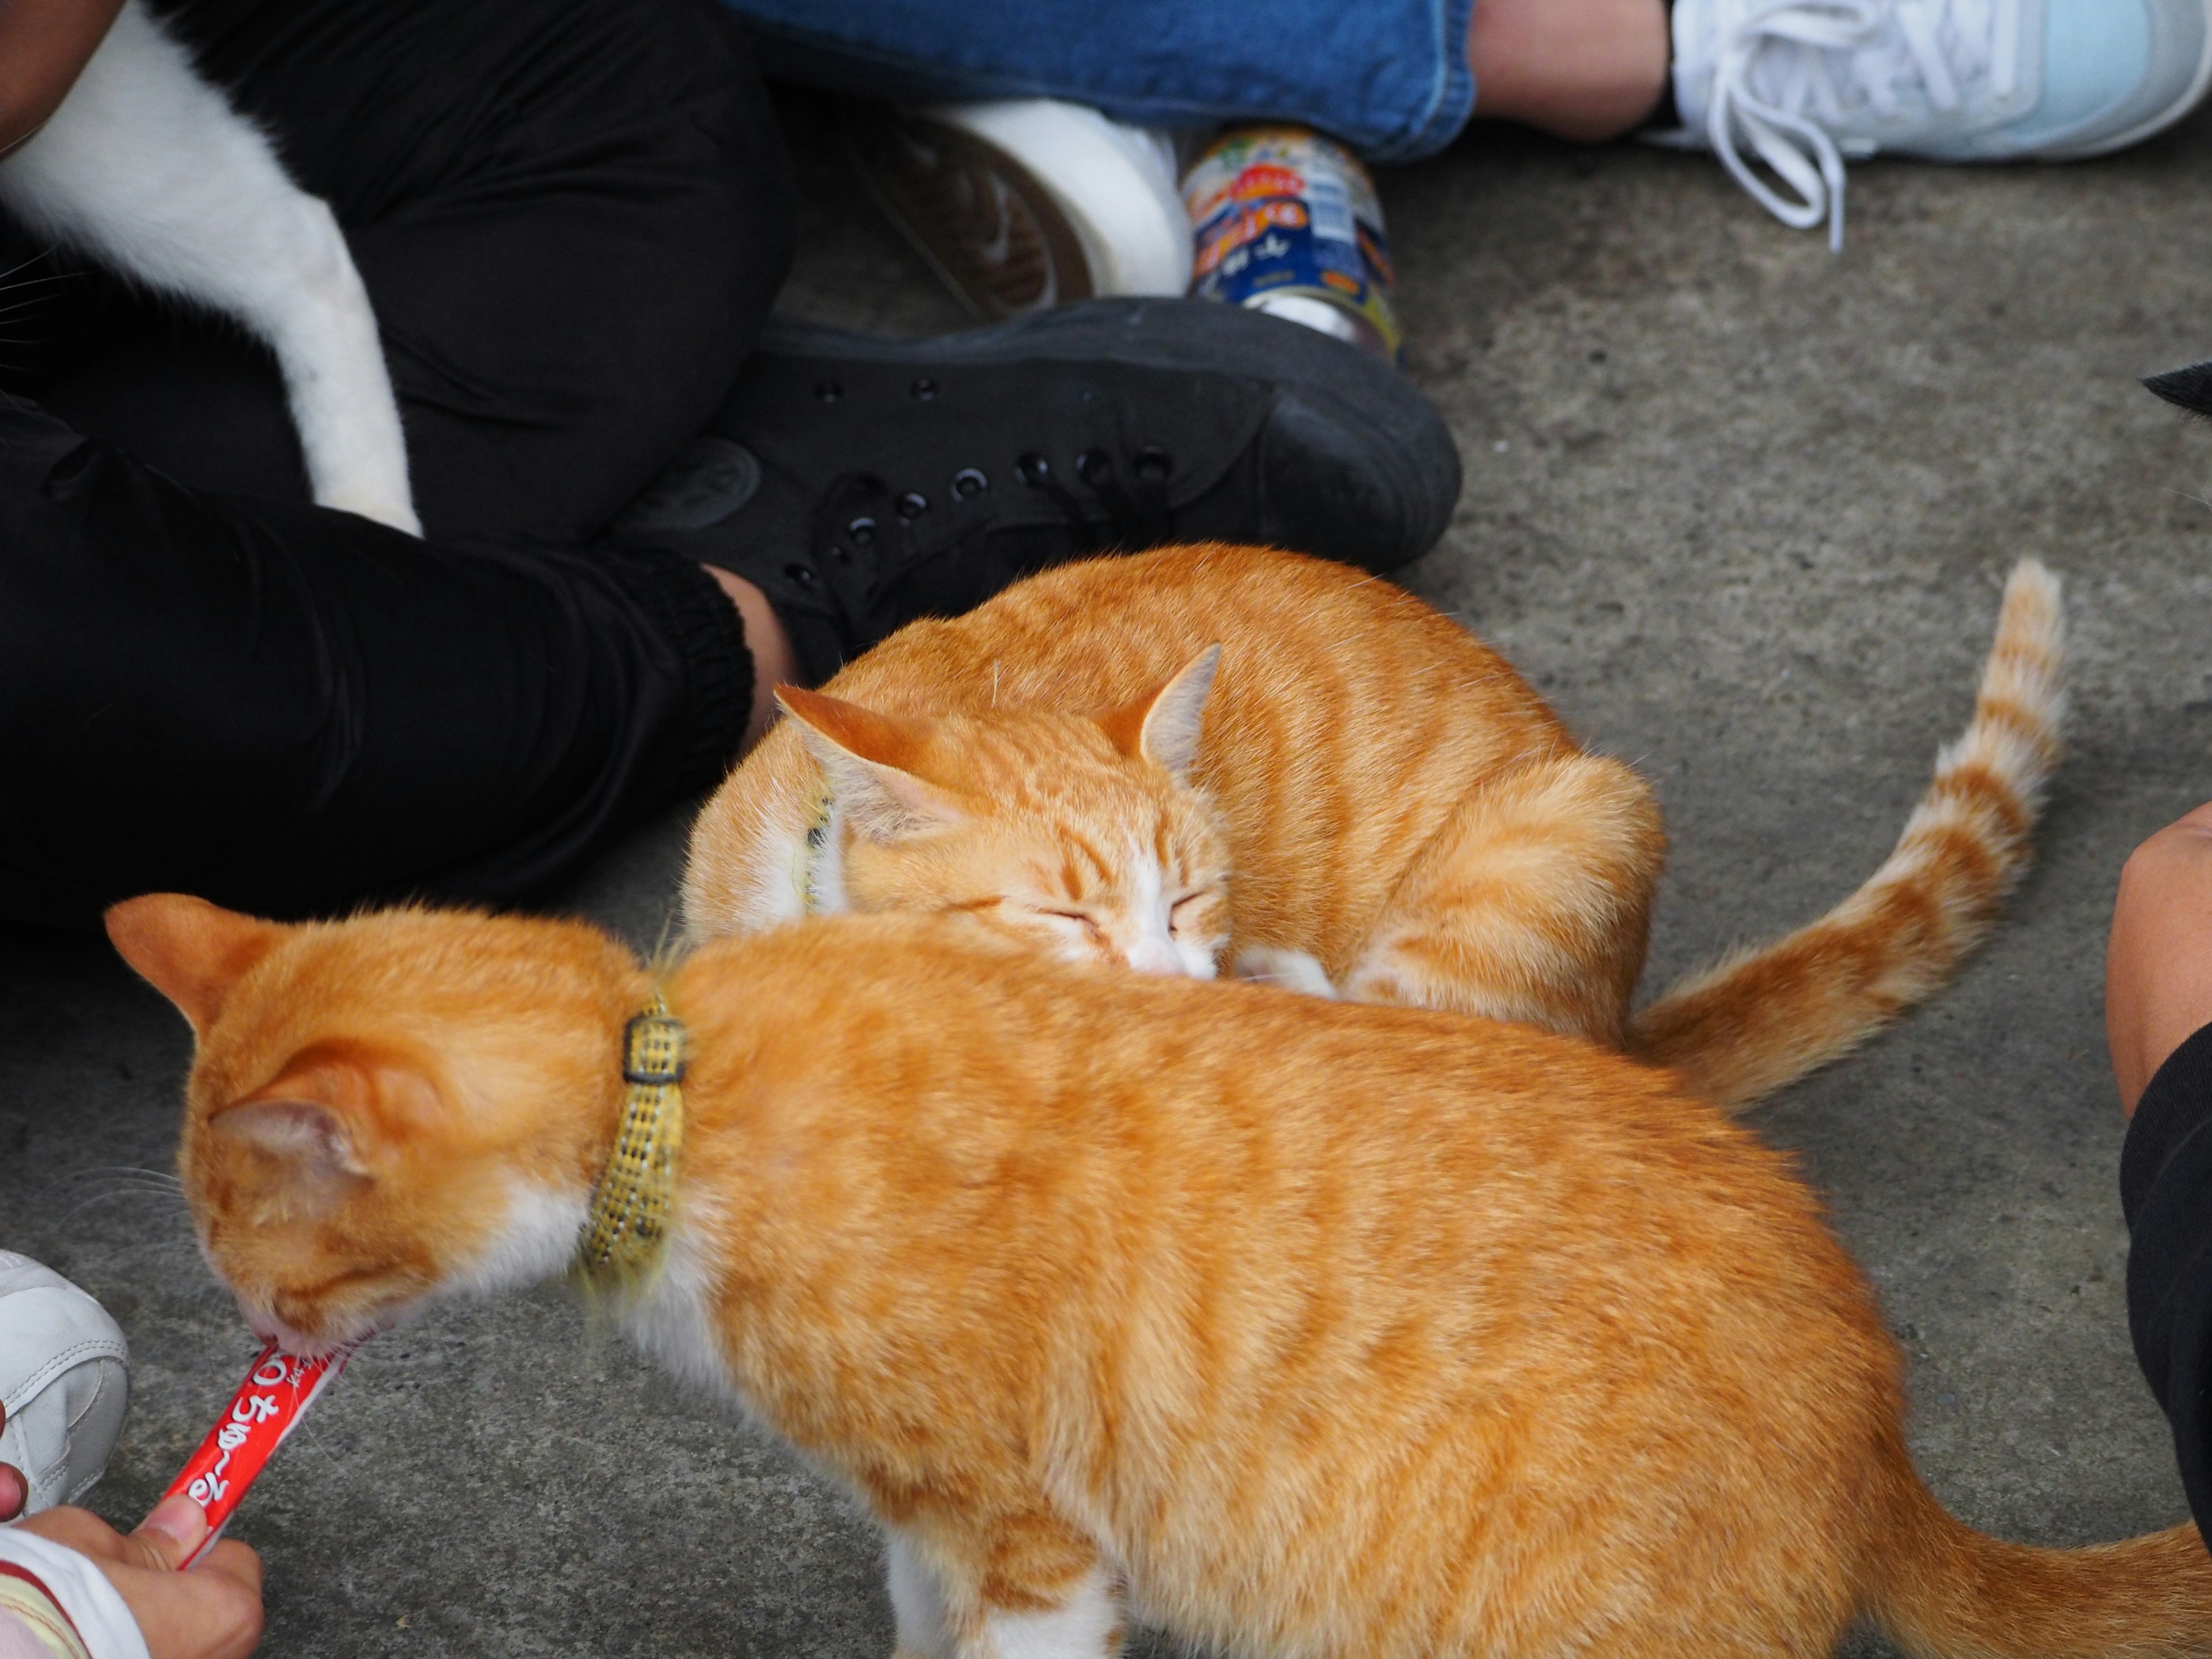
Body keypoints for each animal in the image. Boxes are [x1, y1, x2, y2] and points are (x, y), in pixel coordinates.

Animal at [108, 898, 2212, 1659]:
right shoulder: (928, 1519)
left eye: (259, 1273)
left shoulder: (1034, 1542)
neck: (671, 1094)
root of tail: (1877, 1431)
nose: (256, 1342)